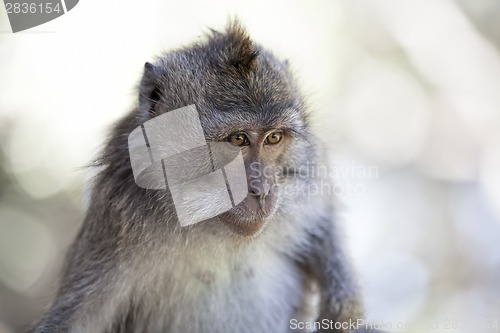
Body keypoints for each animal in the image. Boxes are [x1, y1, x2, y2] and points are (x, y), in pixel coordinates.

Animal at [30, 21, 382, 332]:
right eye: (238, 140)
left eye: (273, 138)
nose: (261, 191)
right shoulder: (120, 214)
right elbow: (75, 321)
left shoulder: (308, 173)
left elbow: (324, 222)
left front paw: (343, 309)